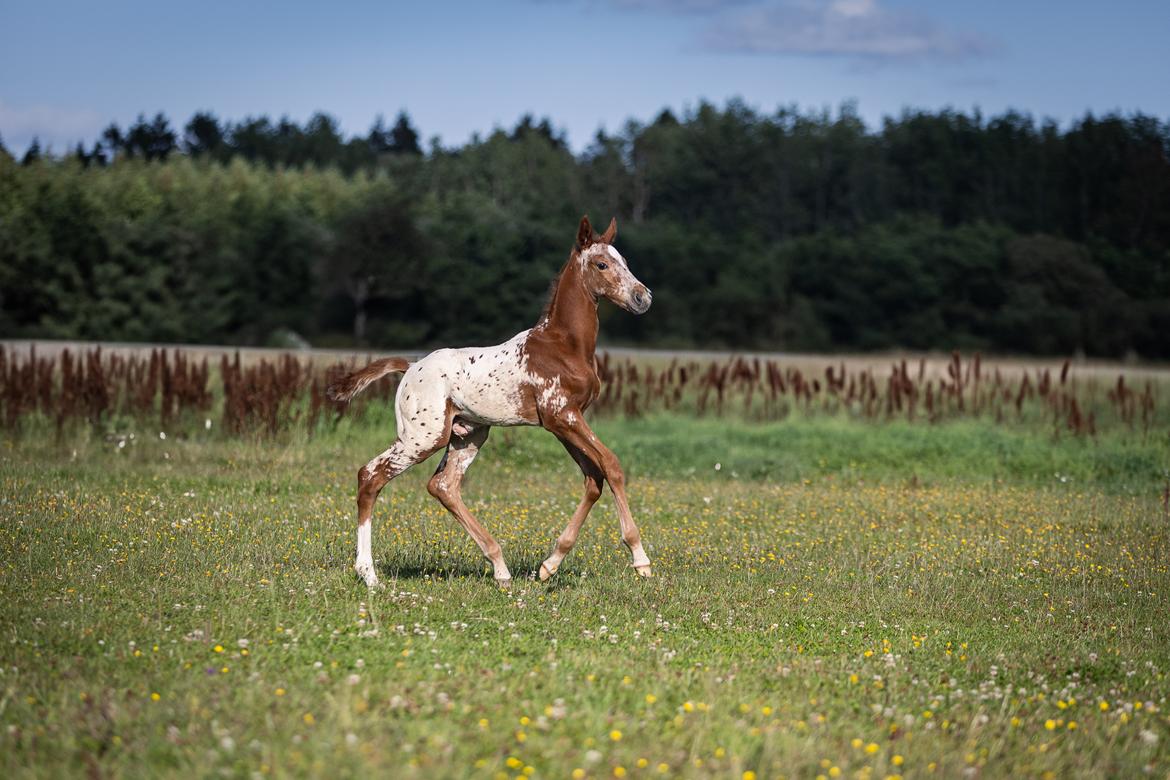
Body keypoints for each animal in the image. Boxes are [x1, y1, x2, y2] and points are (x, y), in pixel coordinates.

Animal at [329, 214, 655, 584]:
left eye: (624, 261)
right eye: (601, 264)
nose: (643, 297)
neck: (564, 346)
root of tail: (411, 367)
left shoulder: (562, 423)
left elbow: (593, 479)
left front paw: (549, 564)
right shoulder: (563, 416)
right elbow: (612, 466)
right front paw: (640, 558)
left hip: (468, 435)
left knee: (443, 486)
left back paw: (500, 568)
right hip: (422, 437)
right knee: (370, 476)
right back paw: (369, 574)